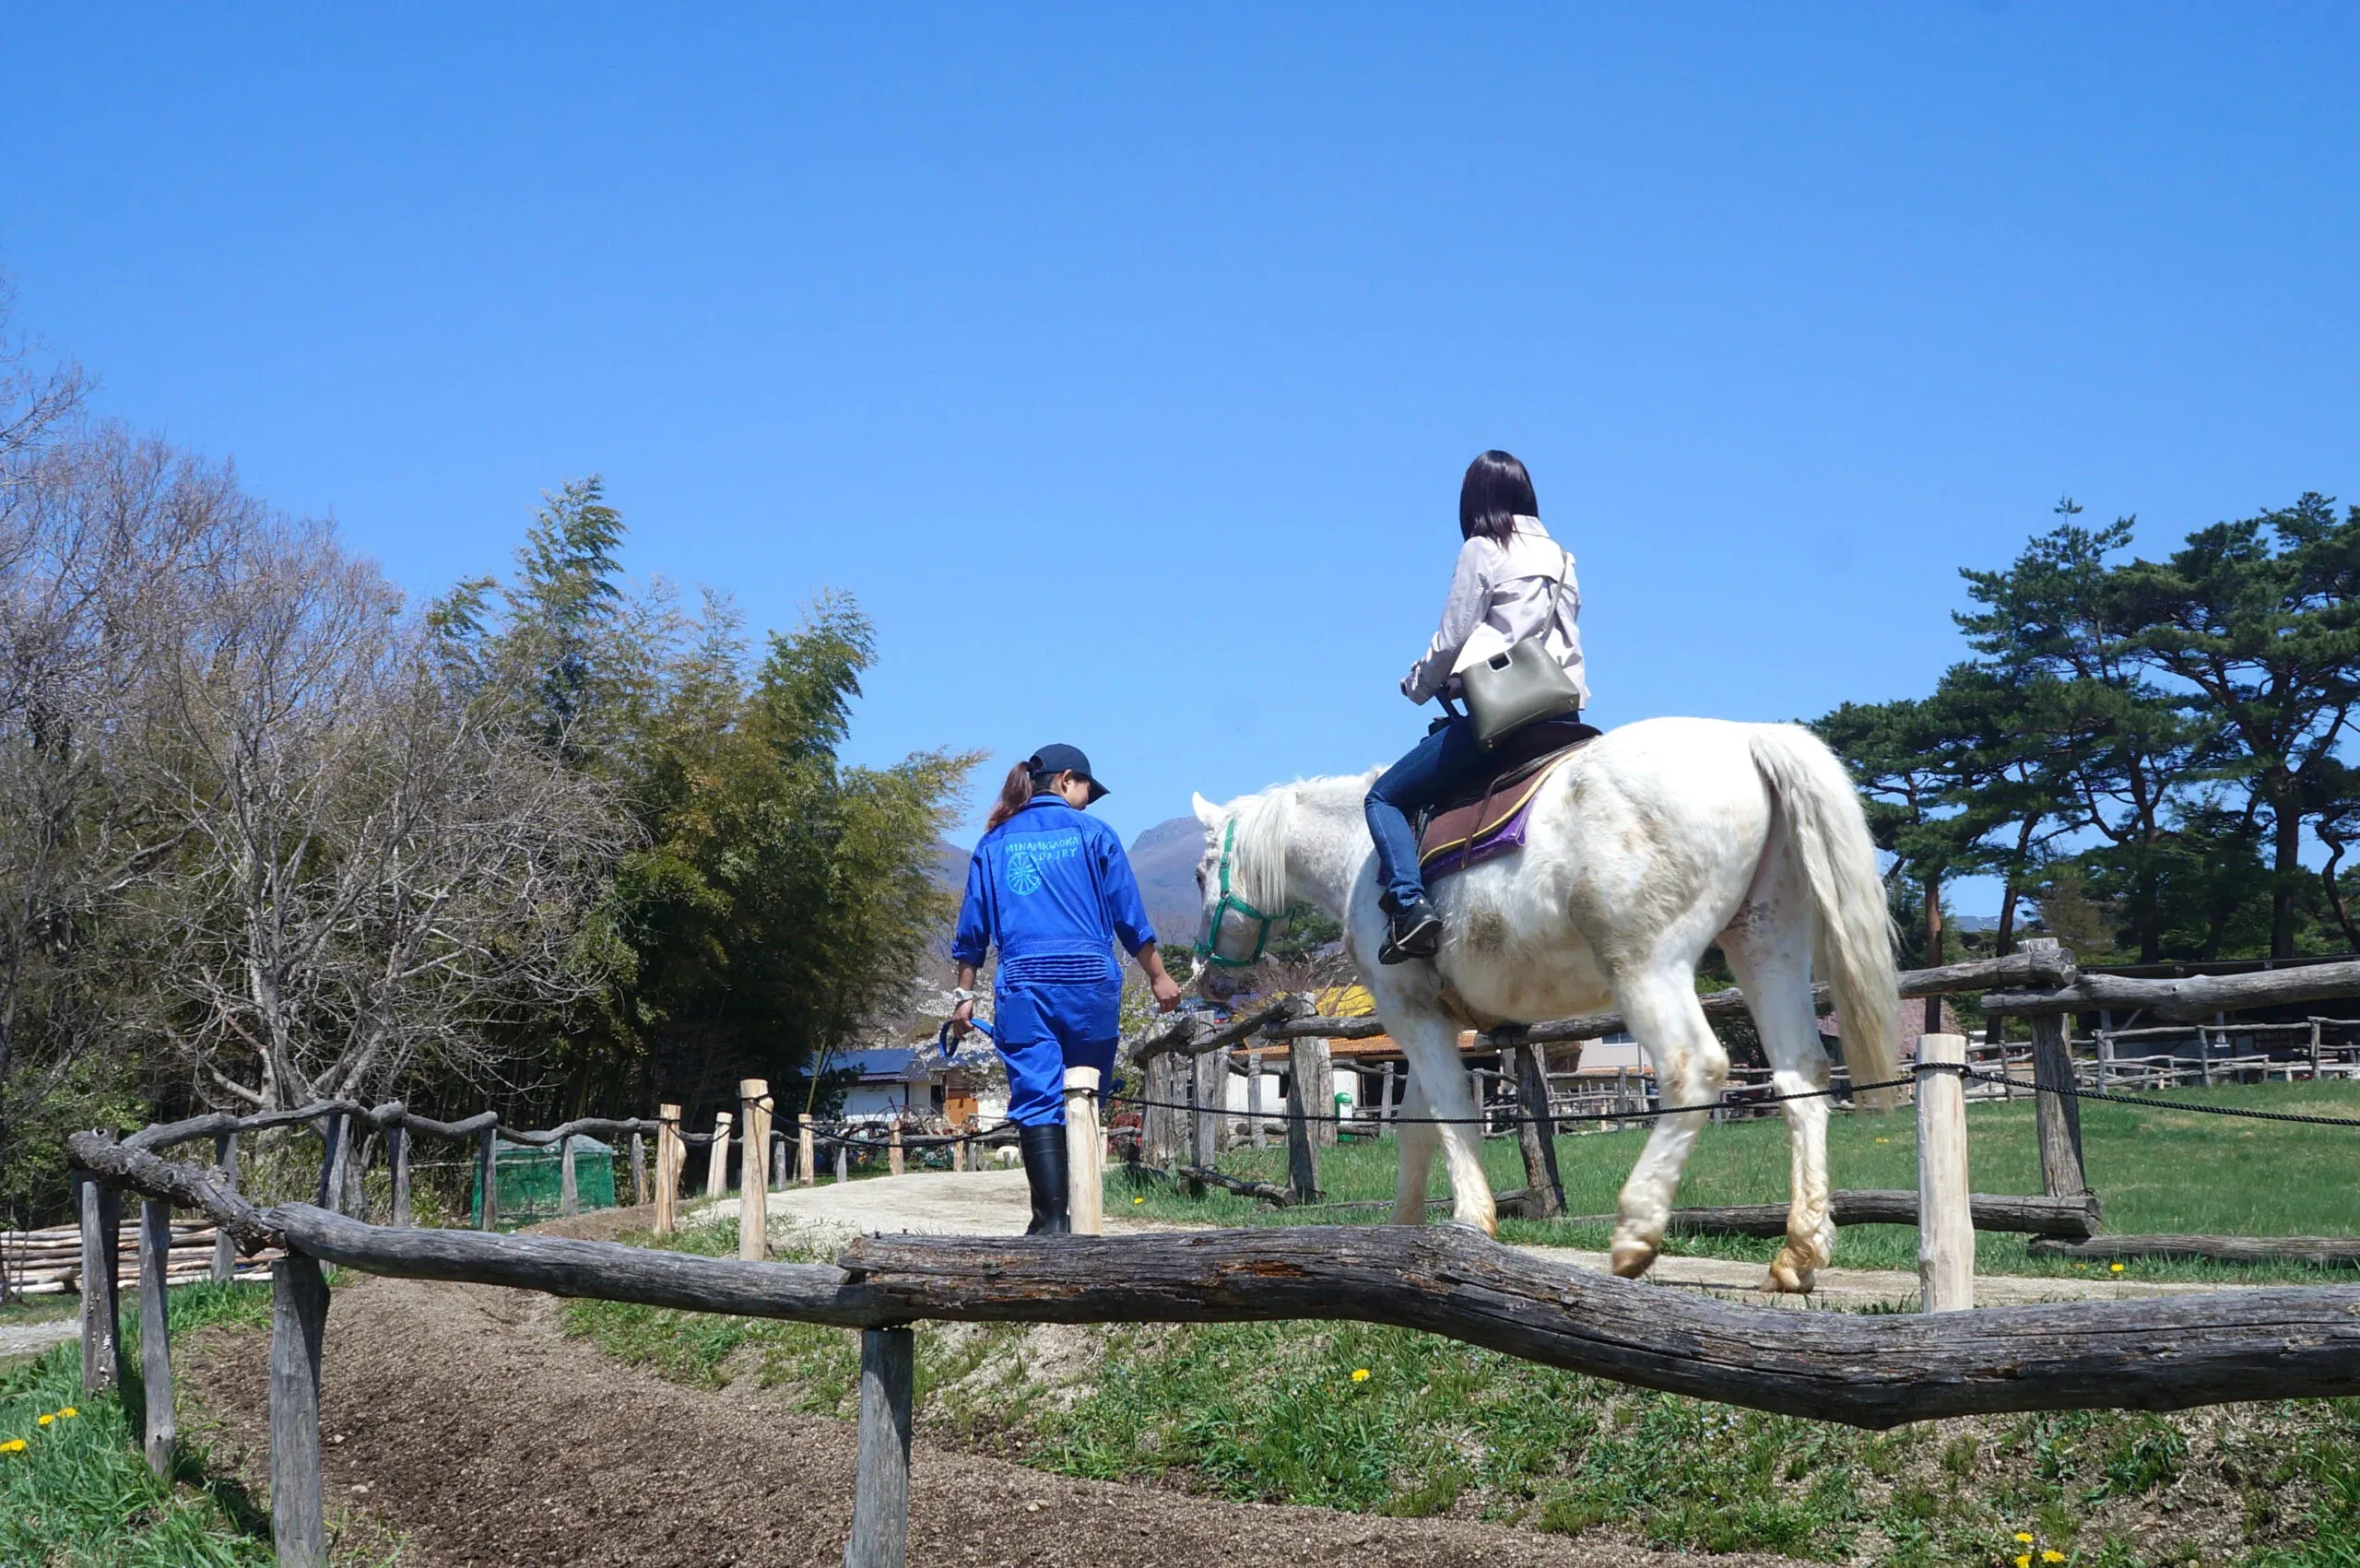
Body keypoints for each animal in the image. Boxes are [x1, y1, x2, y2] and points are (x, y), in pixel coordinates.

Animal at [1198, 717, 1897, 1293]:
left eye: (1204, 872)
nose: (1207, 980)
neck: (1358, 855)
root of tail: (1748, 739)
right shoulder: (1432, 1023)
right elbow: (1418, 1126)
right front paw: (1402, 1231)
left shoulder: (1410, 1012)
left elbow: (1450, 1115)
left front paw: (1470, 1224)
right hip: (1765, 946)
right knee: (1801, 1075)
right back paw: (1799, 1253)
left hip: (1649, 967)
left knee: (1693, 1068)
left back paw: (1637, 1232)